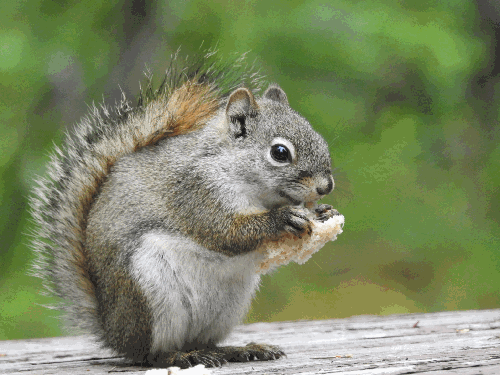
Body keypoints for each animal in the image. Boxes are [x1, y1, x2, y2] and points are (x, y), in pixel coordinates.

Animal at [32, 50, 336, 370]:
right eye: (280, 153)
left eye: (318, 138)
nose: (326, 186)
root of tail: (115, 331)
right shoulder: (195, 192)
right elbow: (226, 233)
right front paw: (283, 218)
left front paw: (323, 212)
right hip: (149, 293)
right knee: (150, 355)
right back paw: (180, 356)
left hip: (226, 307)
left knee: (203, 340)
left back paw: (237, 350)